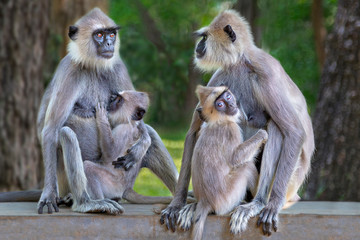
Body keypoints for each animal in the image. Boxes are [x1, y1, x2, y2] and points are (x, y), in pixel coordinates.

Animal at [34, 7, 179, 214]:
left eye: (111, 34)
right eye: (99, 35)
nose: (110, 43)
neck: (93, 66)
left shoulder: (118, 67)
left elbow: (140, 121)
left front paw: (141, 145)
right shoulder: (69, 69)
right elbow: (51, 129)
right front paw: (48, 195)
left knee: (151, 131)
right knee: (66, 133)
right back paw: (85, 203)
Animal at [177, 85, 268, 239]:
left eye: (228, 97)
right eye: (220, 105)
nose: (231, 105)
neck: (218, 121)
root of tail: (205, 201)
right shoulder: (230, 129)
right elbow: (236, 158)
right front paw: (263, 134)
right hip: (228, 197)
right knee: (246, 166)